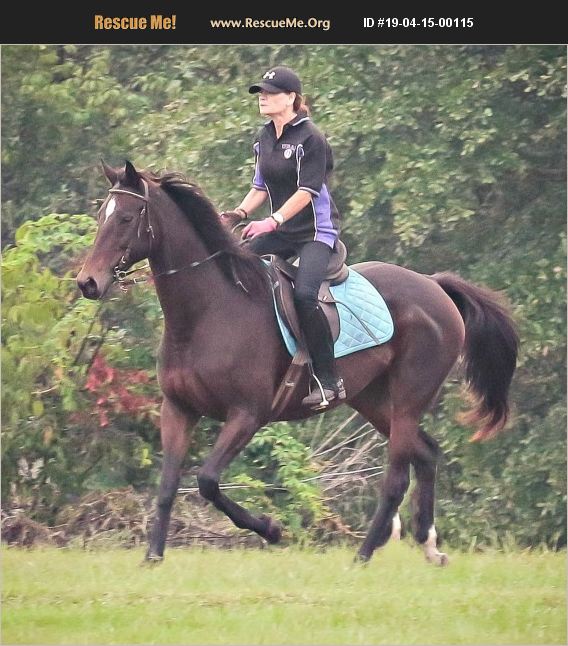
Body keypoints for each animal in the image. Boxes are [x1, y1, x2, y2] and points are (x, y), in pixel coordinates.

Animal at [77, 160, 519, 565]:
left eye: (127, 218)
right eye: (102, 216)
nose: (88, 282)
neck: (206, 313)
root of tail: (434, 285)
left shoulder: (247, 414)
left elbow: (207, 481)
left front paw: (271, 529)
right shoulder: (178, 410)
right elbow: (168, 485)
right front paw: (153, 556)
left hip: (409, 397)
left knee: (396, 476)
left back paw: (363, 554)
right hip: (373, 399)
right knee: (425, 453)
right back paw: (427, 544)